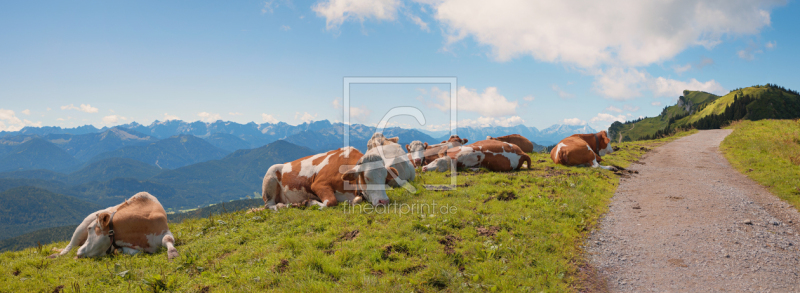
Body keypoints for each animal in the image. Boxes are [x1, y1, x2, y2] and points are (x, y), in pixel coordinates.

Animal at [51, 193, 180, 258]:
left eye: (90, 229)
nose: (79, 251)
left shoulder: (163, 230)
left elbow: (168, 239)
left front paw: (172, 253)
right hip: (80, 227)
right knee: (68, 247)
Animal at [262, 147, 396, 209]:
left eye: (385, 177)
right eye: (367, 178)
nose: (384, 201)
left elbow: (357, 200)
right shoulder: (318, 184)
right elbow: (331, 201)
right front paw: (310, 202)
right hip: (270, 175)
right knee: (269, 205)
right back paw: (283, 206)